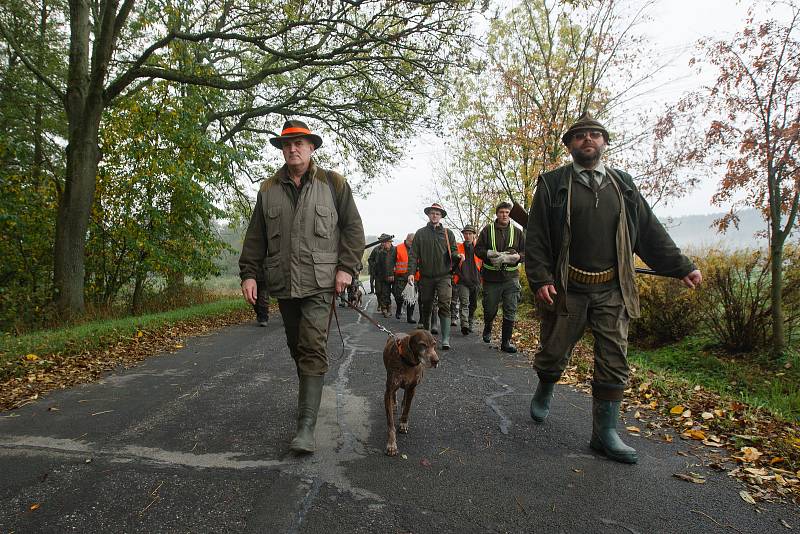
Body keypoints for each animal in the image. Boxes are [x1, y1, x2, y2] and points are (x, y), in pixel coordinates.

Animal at [382, 328, 438, 458]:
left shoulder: (412, 388)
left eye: (434, 344)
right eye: (422, 345)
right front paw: (391, 445)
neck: (408, 362)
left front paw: (403, 423)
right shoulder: (389, 390)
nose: (436, 361)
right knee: (395, 394)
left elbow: (407, 409)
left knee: (405, 399)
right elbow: (390, 423)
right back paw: (394, 404)